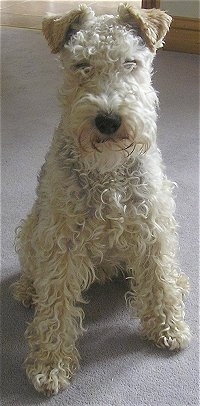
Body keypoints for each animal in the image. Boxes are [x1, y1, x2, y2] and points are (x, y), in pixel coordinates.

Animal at [11, 3, 191, 396]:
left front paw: (168, 328)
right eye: (81, 65)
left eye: (130, 62)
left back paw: (179, 281)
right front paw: (50, 365)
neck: (107, 172)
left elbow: (158, 280)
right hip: (33, 227)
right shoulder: (61, 242)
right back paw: (28, 290)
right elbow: (57, 307)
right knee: (34, 270)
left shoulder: (152, 225)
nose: (108, 121)